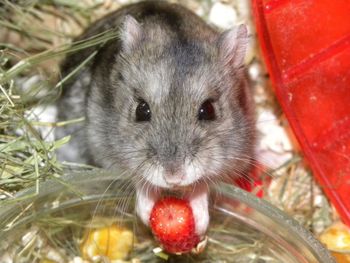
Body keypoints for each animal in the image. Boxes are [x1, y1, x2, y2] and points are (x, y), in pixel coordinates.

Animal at [56, 0, 256, 239]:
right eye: (141, 110)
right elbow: (138, 179)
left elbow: (202, 186)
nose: (173, 178)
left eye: (208, 110)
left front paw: (200, 224)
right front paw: (144, 214)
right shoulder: (103, 149)